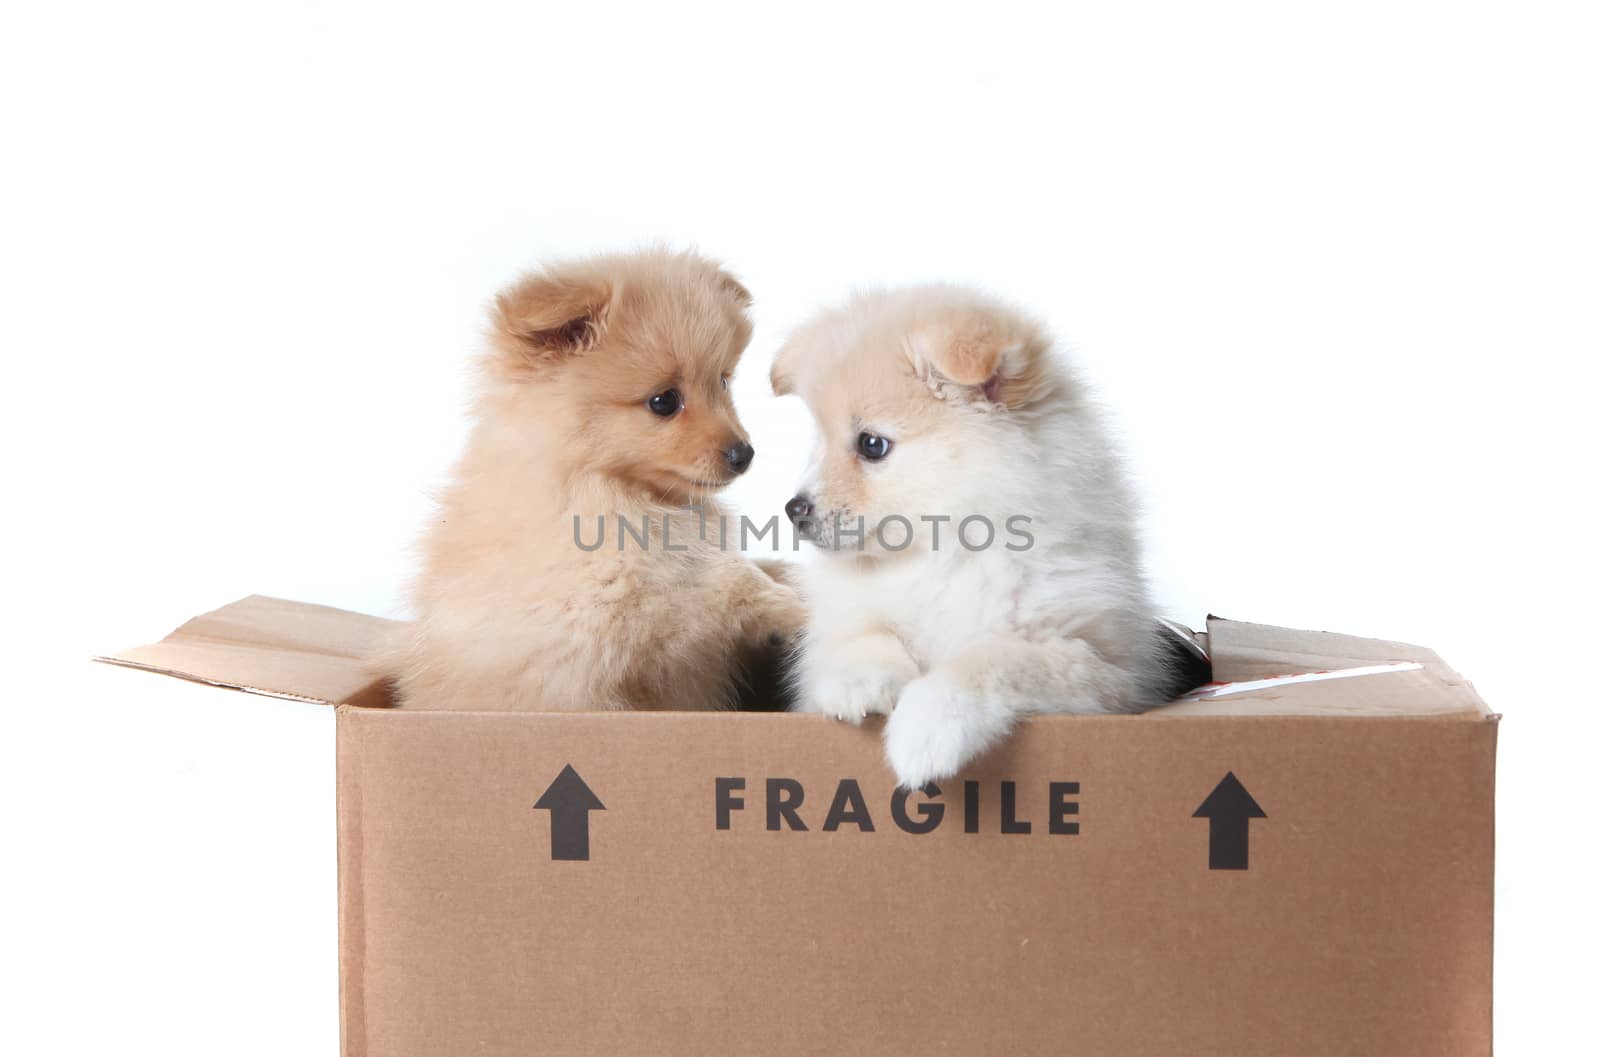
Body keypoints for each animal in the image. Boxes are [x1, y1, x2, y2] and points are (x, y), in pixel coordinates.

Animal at [390, 247, 800, 709]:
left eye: (723, 382)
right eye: (664, 401)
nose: (743, 454)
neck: (598, 481)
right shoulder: (605, 606)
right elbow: (724, 583)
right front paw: (794, 604)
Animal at [774, 284, 1177, 786]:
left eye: (872, 445)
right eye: (819, 442)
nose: (794, 510)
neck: (943, 553)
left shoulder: (1098, 662)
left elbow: (988, 659)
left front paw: (924, 728)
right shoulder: (836, 628)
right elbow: (861, 639)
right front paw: (858, 682)